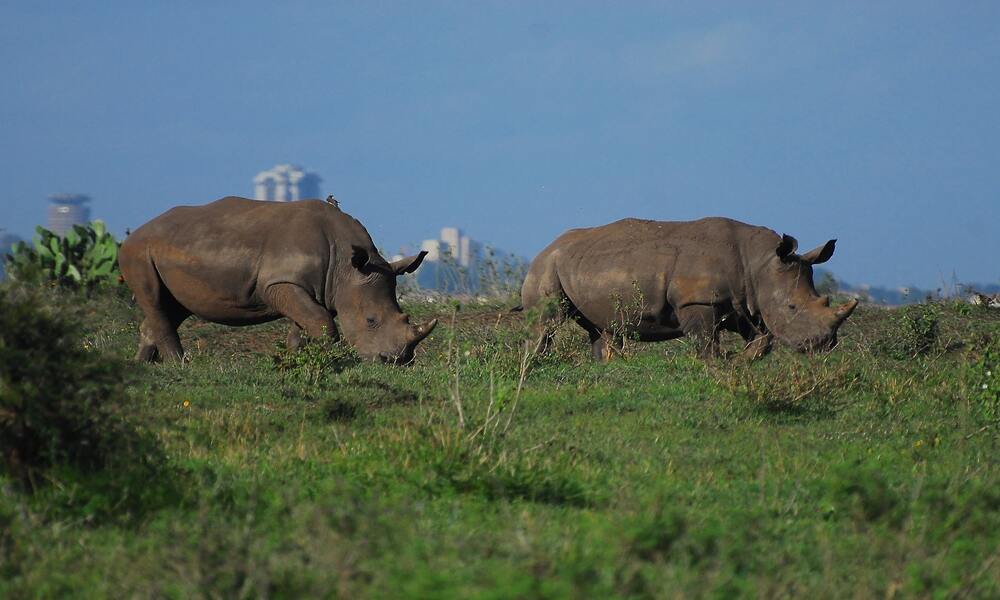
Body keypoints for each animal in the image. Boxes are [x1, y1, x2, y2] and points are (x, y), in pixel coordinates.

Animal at [119, 199, 436, 364]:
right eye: (371, 321)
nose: (397, 361)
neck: (346, 266)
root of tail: (136, 232)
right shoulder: (281, 283)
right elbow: (321, 321)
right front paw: (330, 359)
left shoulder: (313, 287)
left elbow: (306, 323)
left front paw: (295, 358)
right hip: (138, 252)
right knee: (154, 300)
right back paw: (180, 365)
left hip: (170, 249)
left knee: (172, 307)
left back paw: (143, 365)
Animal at [520, 219, 856, 364]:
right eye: (792, 308)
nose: (825, 345)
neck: (758, 262)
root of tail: (546, 245)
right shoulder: (697, 301)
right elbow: (704, 340)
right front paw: (717, 361)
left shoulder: (743, 302)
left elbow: (762, 339)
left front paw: (740, 359)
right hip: (547, 265)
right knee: (547, 321)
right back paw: (535, 363)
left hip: (582, 264)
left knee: (601, 328)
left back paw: (603, 365)